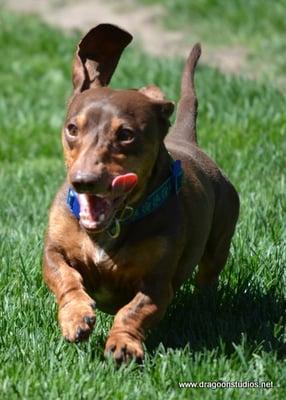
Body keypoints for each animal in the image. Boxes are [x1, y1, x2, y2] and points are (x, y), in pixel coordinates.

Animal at [43, 24, 239, 362]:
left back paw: (205, 307)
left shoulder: (157, 283)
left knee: (208, 277)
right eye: (72, 129)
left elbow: (135, 310)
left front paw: (123, 343)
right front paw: (76, 316)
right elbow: (64, 276)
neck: (110, 226)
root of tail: (187, 139)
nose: (82, 181)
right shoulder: (52, 250)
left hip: (219, 243)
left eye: (125, 134)